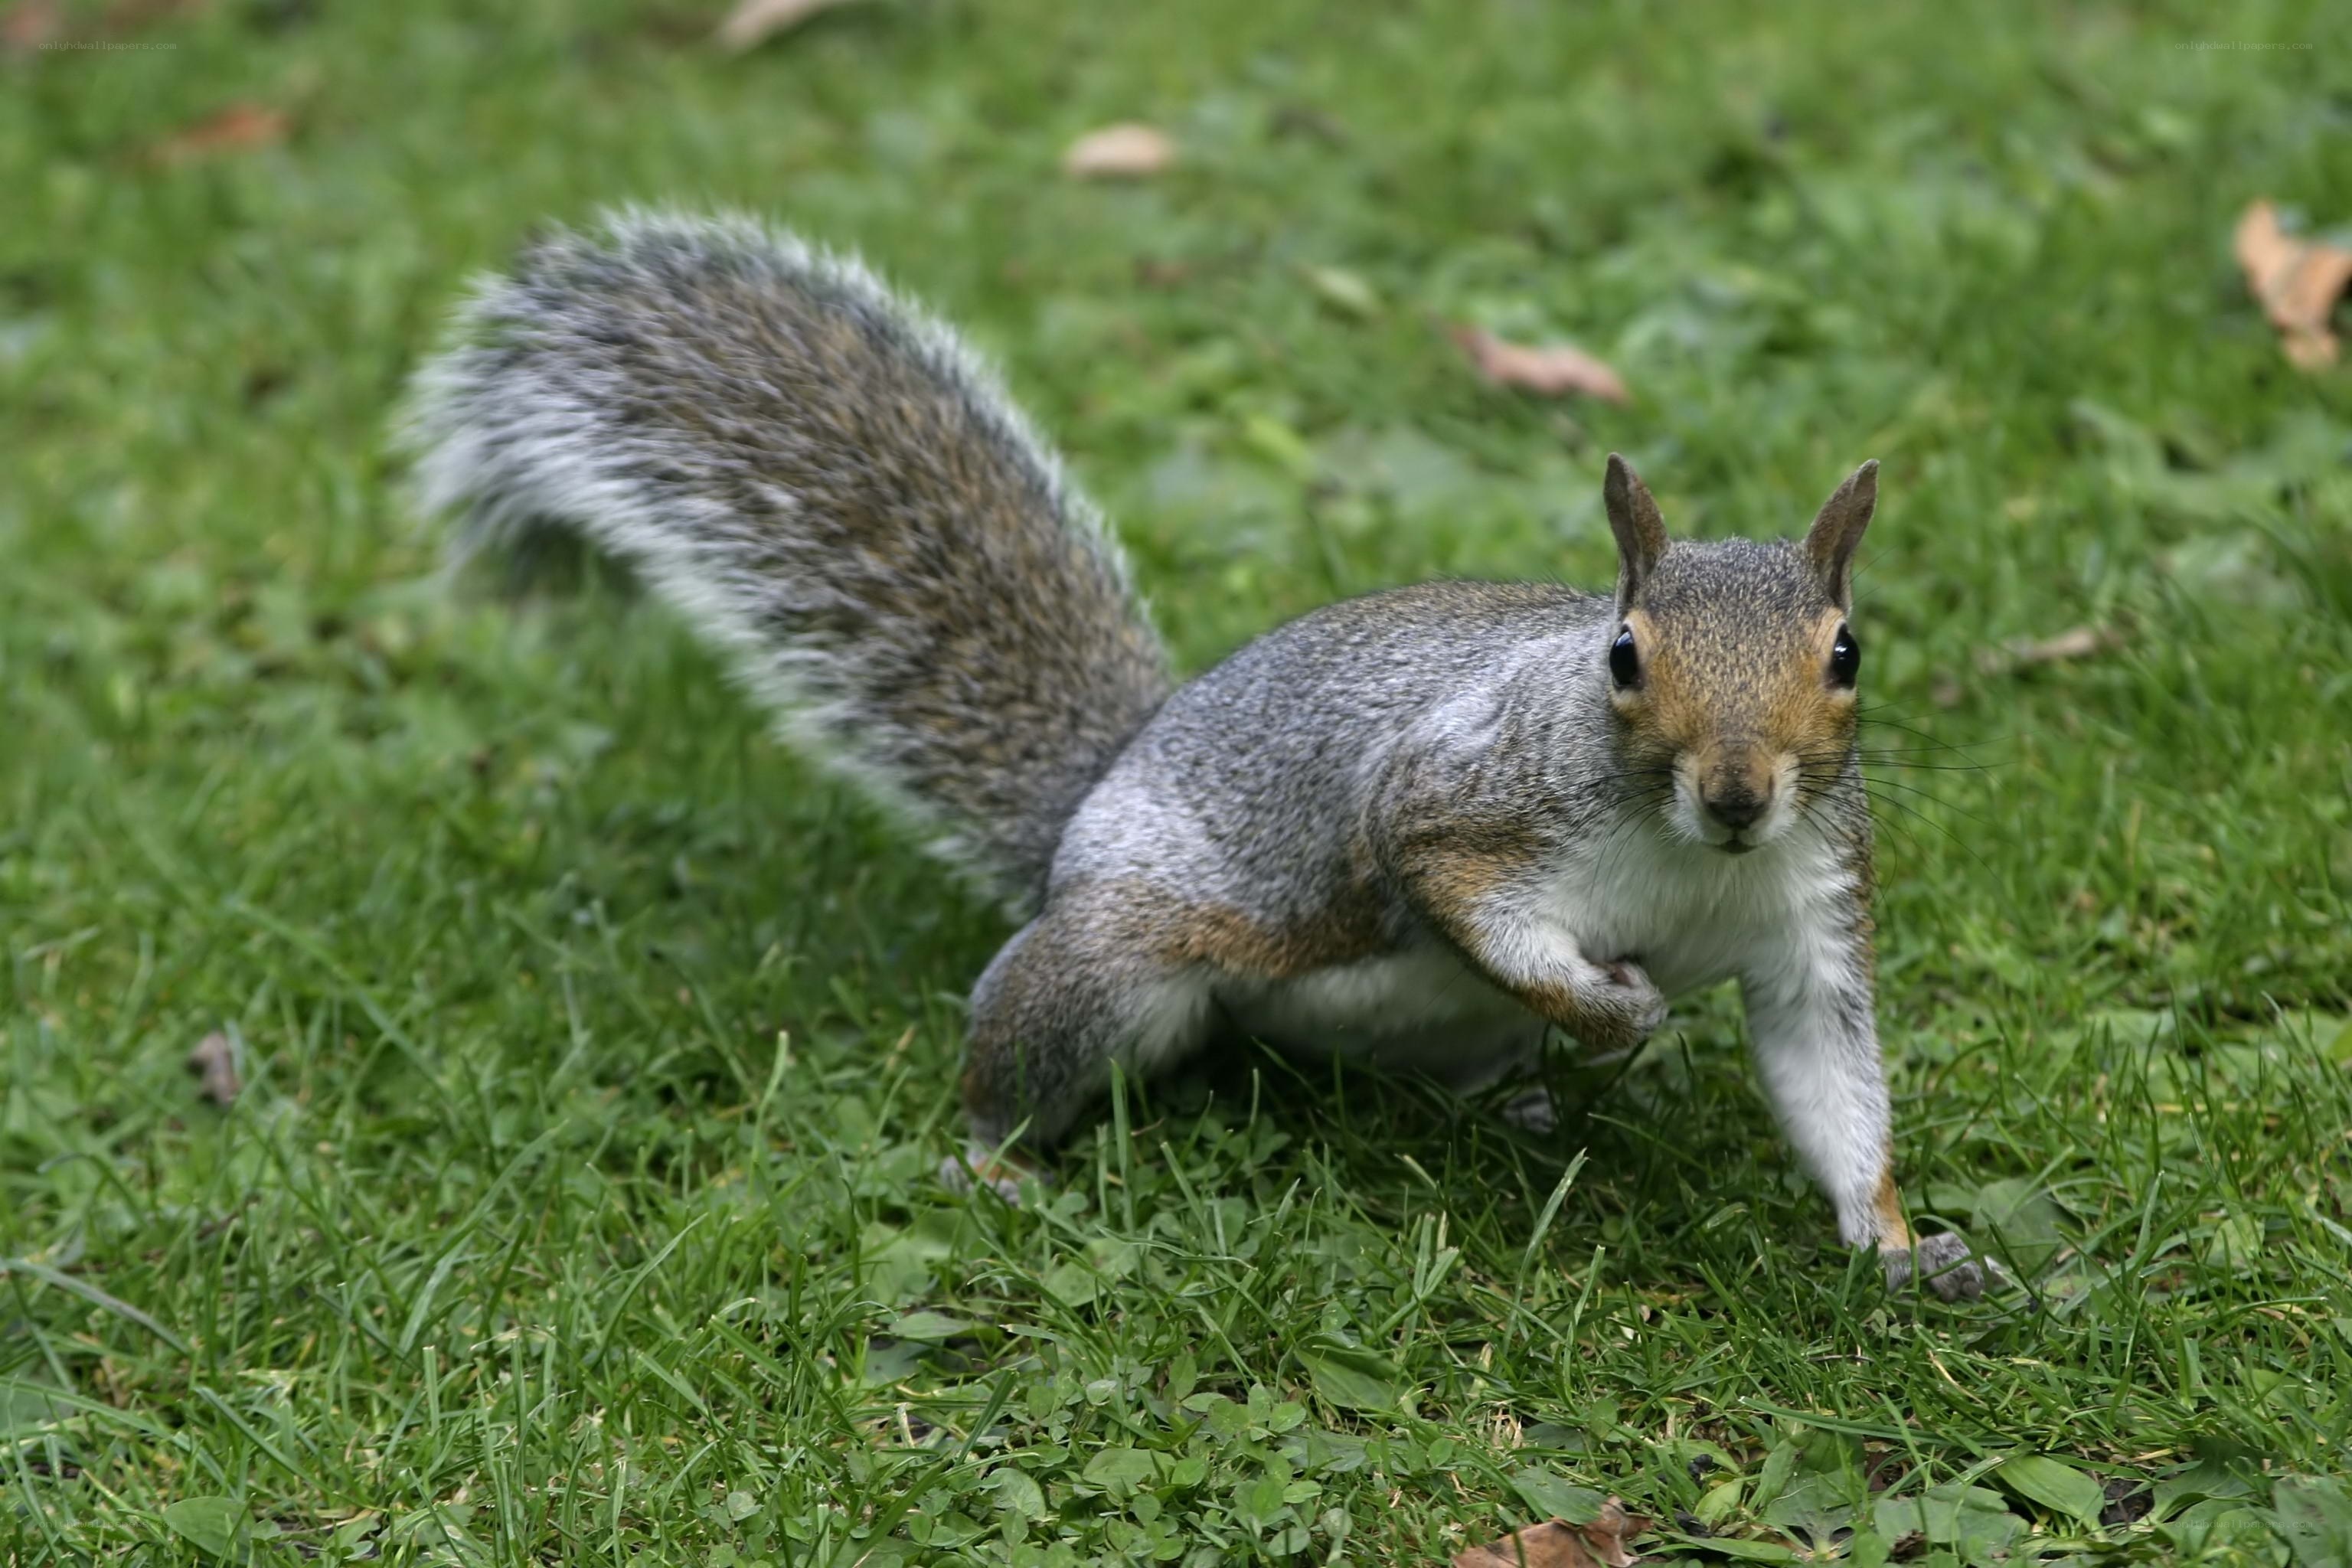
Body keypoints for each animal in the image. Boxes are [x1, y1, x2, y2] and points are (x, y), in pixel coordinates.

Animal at [404, 209, 1986, 1300]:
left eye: (1846, 655)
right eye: (1623, 654)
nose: (1736, 792)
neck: (1684, 857)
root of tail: (1080, 812)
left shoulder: (1809, 918)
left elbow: (1829, 1084)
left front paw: (1899, 1245)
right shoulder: (1454, 800)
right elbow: (1458, 895)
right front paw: (1613, 1011)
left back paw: (1524, 1105)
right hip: (1110, 967)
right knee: (1026, 1053)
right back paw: (992, 1159)